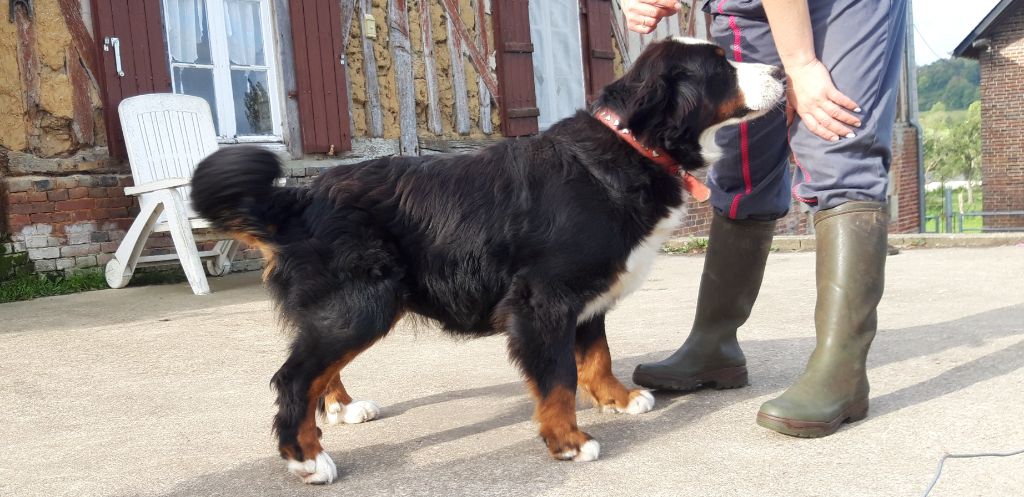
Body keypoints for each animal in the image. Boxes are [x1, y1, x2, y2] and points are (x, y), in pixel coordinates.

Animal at [190, 36, 782, 481]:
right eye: (721, 67)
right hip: (360, 302)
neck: (629, 150)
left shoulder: (587, 295)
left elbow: (596, 355)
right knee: (295, 378)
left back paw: (340, 408)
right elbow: (559, 377)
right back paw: (306, 458)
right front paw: (568, 440)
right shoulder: (544, 299)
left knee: (319, 370)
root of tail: (300, 196)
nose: (779, 68)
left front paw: (616, 399)